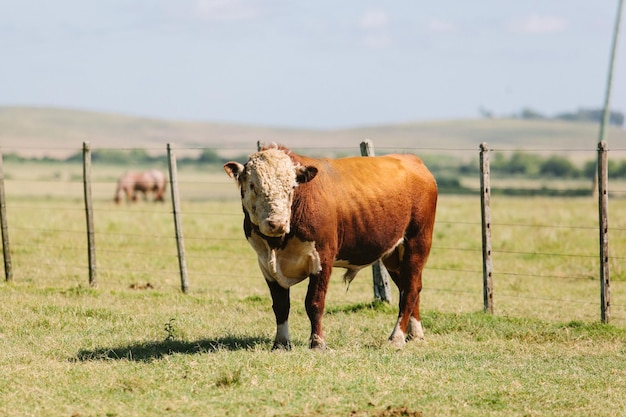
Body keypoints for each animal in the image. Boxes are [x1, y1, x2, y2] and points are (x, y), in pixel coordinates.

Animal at [223, 145, 434, 350]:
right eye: (252, 185)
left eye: (292, 187)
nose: (277, 223)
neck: (279, 243)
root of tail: (412, 159)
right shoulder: (266, 263)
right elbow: (281, 305)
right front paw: (281, 343)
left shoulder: (322, 259)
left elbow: (314, 302)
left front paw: (318, 342)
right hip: (394, 256)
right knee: (410, 287)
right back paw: (415, 335)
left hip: (417, 243)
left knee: (410, 290)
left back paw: (396, 338)